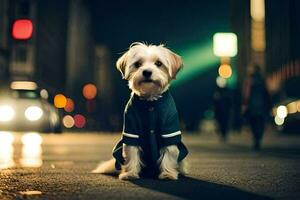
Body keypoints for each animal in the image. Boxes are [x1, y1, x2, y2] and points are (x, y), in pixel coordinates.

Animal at [92, 41, 189, 180]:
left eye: (158, 63)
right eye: (138, 64)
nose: (147, 72)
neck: (150, 100)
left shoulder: (169, 131)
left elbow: (169, 153)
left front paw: (168, 173)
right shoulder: (131, 131)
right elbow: (131, 153)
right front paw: (130, 173)